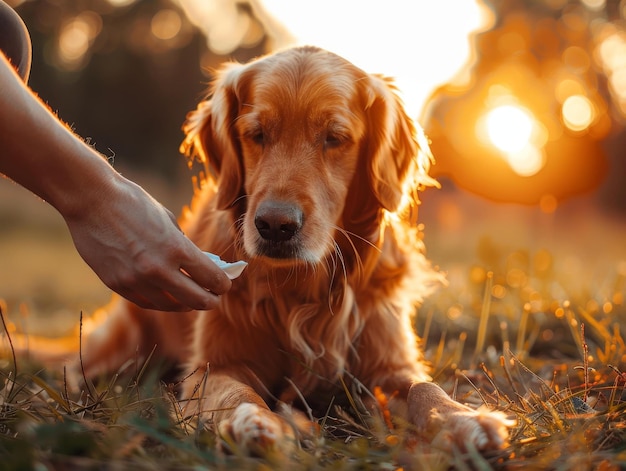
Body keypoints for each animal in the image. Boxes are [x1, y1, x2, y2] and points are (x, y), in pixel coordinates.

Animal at [61, 46, 510, 456]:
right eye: (256, 134)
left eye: (334, 138)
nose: (276, 226)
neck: (299, 289)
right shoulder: (216, 366)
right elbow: (236, 394)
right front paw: (254, 423)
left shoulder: (386, 366)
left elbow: (424, 386)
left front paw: (465, 420)